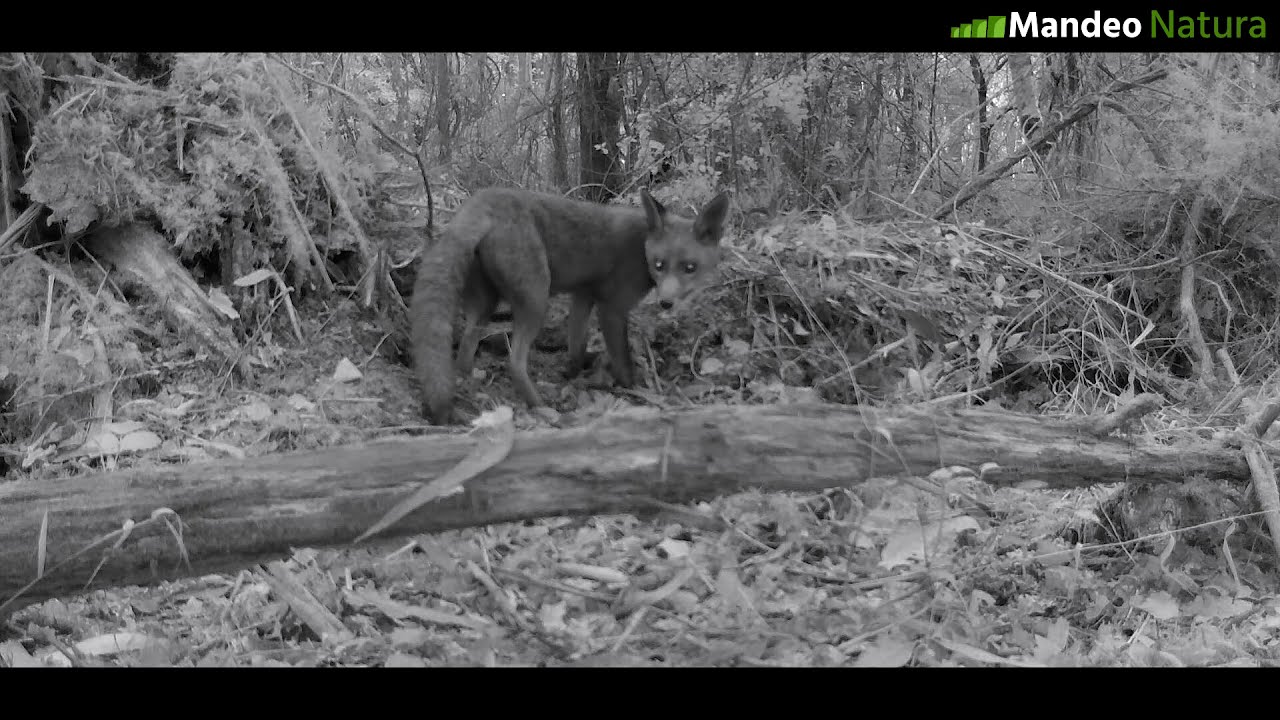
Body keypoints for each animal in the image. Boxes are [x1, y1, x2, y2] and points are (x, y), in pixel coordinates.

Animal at [412, 187, 730, 425]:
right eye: (659, 265)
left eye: (690, 267)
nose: (666, 302)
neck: (641, 246)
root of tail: (482, 200)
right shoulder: (611, 307)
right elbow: (622, 359)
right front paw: (634, 389)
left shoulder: (583, 295)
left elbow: (577, 343)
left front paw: (572, 374)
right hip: (536, 299)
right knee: (515, 361)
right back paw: (542, 407)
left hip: (486, 304)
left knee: (465, 350)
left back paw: (471, 385)